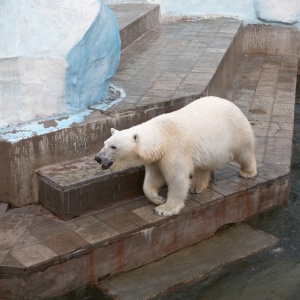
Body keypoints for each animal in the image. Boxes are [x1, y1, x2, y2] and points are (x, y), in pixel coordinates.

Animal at [95, 96, 256, 216]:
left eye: (113, 147)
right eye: (104, 143)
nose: (98, 158)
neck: (162, 135)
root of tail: (230, 103)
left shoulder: (174, 149)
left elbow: (177, 177)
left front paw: (164, 209)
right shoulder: (157, 158)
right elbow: (153, 177)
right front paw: (158, 199)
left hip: (236, 130)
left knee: (244, 151)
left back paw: (247, 172)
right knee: (203, 166)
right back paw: (196, 187)